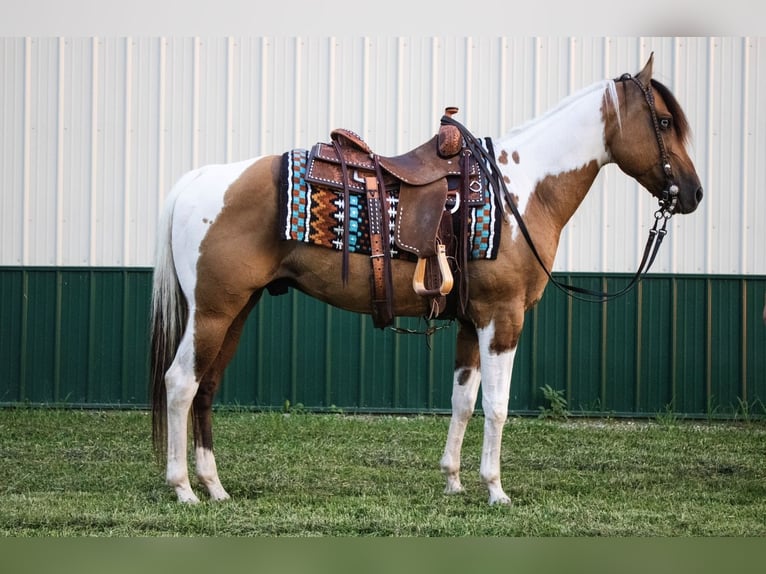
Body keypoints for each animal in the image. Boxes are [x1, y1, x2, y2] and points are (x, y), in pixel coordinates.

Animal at [150, 54, 703, 505]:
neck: (521, 191)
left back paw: (215, 487)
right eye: (663, 120)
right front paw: (495, 490)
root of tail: (197, 182)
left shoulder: (471, 321)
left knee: (206, 387)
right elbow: (497, 406)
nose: (693, 193)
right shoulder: (503, 319)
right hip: (214, 311)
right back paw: (184, 489)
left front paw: (453, 480)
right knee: (180, 383)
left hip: (236, 309)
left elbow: (463, 401)